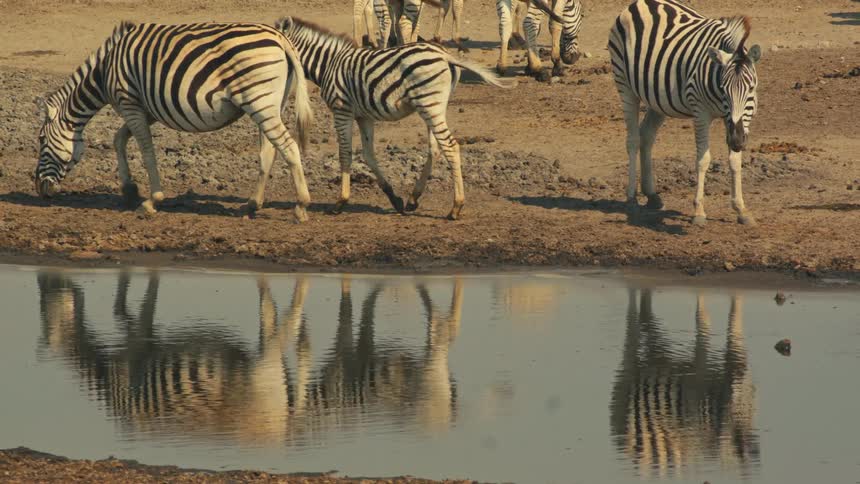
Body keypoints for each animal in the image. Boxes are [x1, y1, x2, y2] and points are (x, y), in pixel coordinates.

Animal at [34, 21, 314, 222]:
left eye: (40, 140)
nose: (39, 189)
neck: (104, 72)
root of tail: (280, 38)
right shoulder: (146, 109)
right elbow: (119, 139)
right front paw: (129, 189)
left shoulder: (129, 103)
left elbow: (146, 150)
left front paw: (151, 201)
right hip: (270, 103)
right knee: (269, 150)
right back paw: (253, 204)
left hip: (259, 101)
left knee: (289, 147)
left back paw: (301, 206)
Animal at [275, 17, 516, 219]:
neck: (329, 64)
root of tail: (444, 54)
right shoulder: (363, 116)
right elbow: (369, 155)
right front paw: (394, 198)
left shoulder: (341, 109)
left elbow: (345, 153)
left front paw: (340, 202)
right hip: (433, 106)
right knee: (435, 148)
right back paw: (413, 199)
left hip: (429, 104)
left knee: (449, 145)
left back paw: (456, 207)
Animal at [608, 0, 762, 226]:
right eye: (723, 88)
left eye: (751, 88)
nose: (736, 141)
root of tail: (641, 2)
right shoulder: (700, 112)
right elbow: (703, 160)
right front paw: (698, 211)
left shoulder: (739, 123)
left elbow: (735, 161)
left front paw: (741, 209)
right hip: (625, 85)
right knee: (633, 141)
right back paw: (631, 199)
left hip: (658, 99)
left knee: (646, 136)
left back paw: (652, 195)